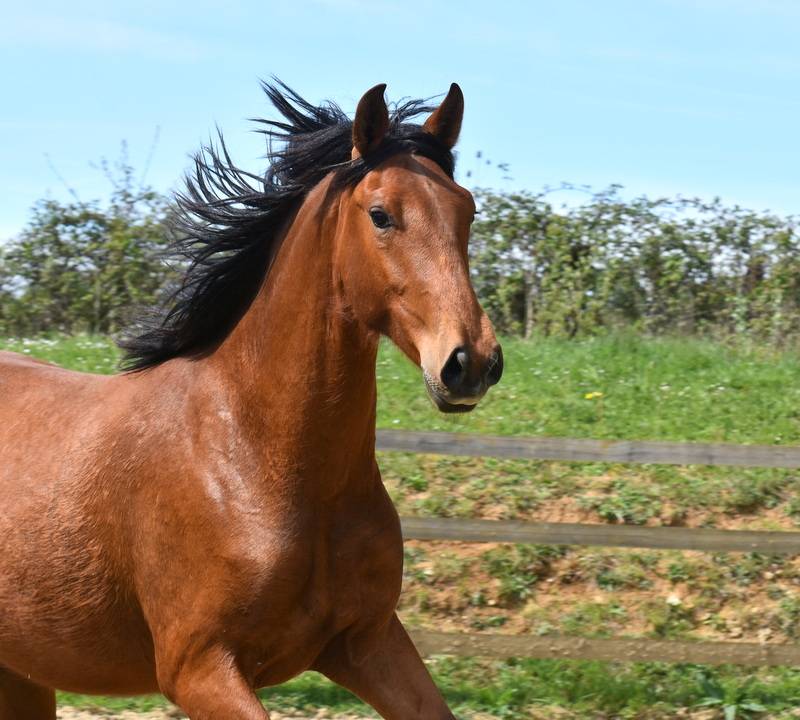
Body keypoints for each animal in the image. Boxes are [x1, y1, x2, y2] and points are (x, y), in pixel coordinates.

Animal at [0, 80, 502, 719]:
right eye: (381, 214)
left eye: (467, 210)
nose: (471, 363)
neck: (253, 457)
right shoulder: (199, 669)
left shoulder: (369, 642)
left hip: (24, 673)